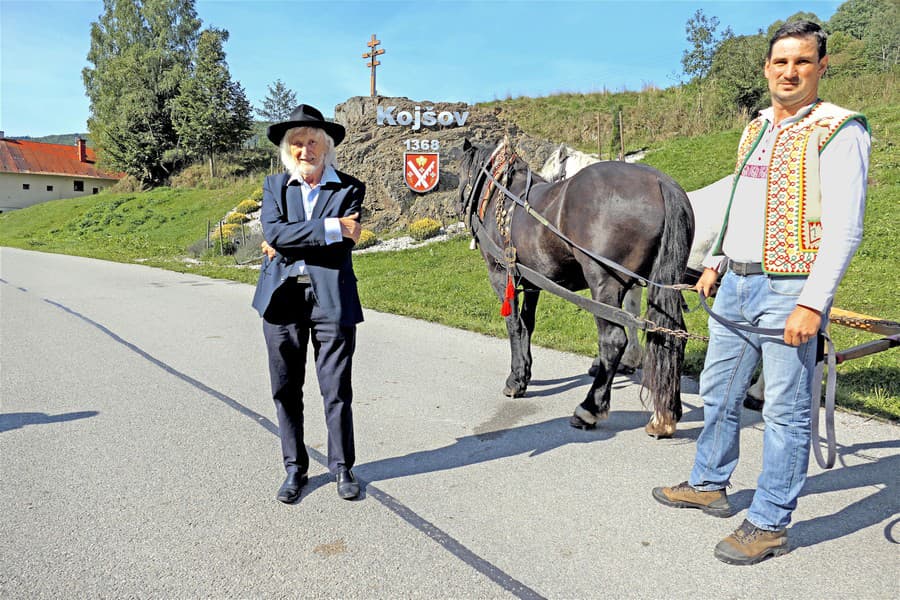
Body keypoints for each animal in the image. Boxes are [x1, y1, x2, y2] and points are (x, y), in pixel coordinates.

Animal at [460, 141, 692, 440]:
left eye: (462, 173)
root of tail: (660, 182)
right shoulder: (533, 282)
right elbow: (527, 325)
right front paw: (525, 371)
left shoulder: (500, 275)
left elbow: (513, 325)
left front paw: (516, 379)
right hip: (663, 284)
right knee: (672, 335)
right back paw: (666, 415)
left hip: (605, 284)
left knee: (613, 340)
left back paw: (590, 408)